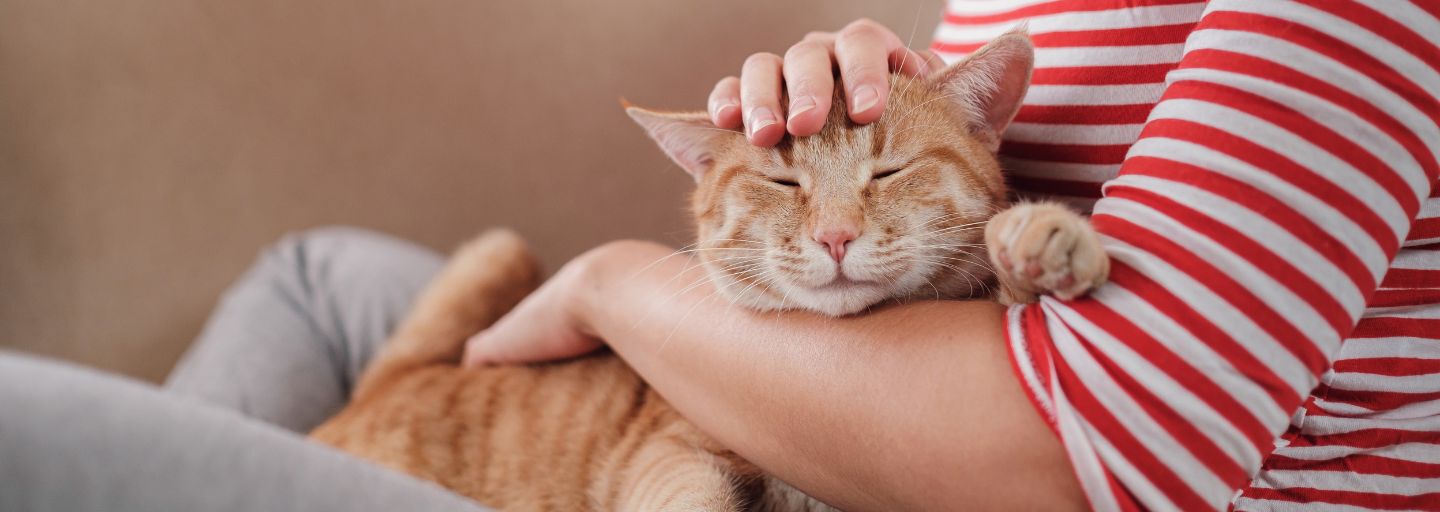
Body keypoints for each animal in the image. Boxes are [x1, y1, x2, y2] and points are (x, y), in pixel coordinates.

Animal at [309, 30, 1105, 512]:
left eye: (889, 171)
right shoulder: (673, 451)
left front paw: (1049, 240)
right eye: (782, 182)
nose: (836, 236)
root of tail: (384, 387)